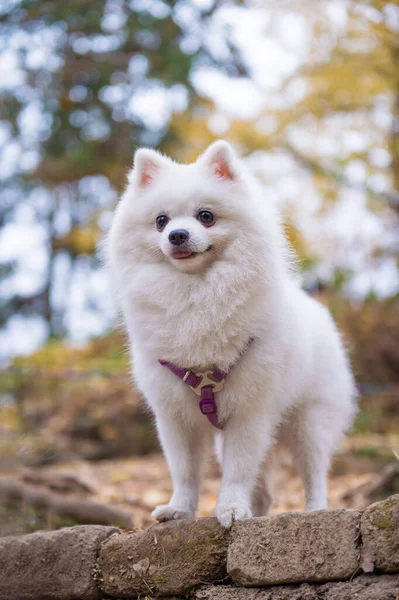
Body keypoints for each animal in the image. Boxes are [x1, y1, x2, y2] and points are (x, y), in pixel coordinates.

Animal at [105, 139, 356, 524]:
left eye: (205, 216)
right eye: (161, 221)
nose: (177, 234)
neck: (195, 292)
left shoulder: (249, 410)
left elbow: (237, 471)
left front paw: (231, 507)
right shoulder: (174, 415)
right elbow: (184, 471)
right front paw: (180, 508)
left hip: (309, 421)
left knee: (314, 471)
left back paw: (315, 510)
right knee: (265, 490)